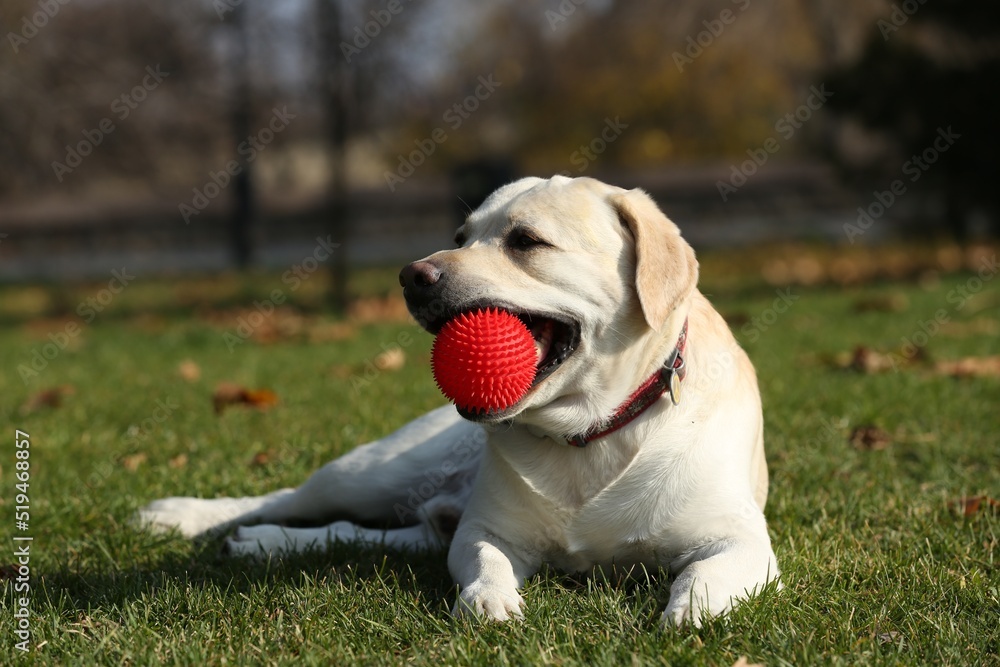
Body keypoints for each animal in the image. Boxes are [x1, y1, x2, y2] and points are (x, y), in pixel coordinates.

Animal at [139, 176, 780, 628]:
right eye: (460, 237)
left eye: (526, 241)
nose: (410, 276)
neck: (590, 430)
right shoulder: (486, 530)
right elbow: (487, 564)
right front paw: (488, 603)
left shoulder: (743, 541)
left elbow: (707, 575)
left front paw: (690, 612)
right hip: (376, 471)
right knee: (291, 500)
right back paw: (194, 519)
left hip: (411, 513)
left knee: (361, 534)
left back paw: (267, 544)